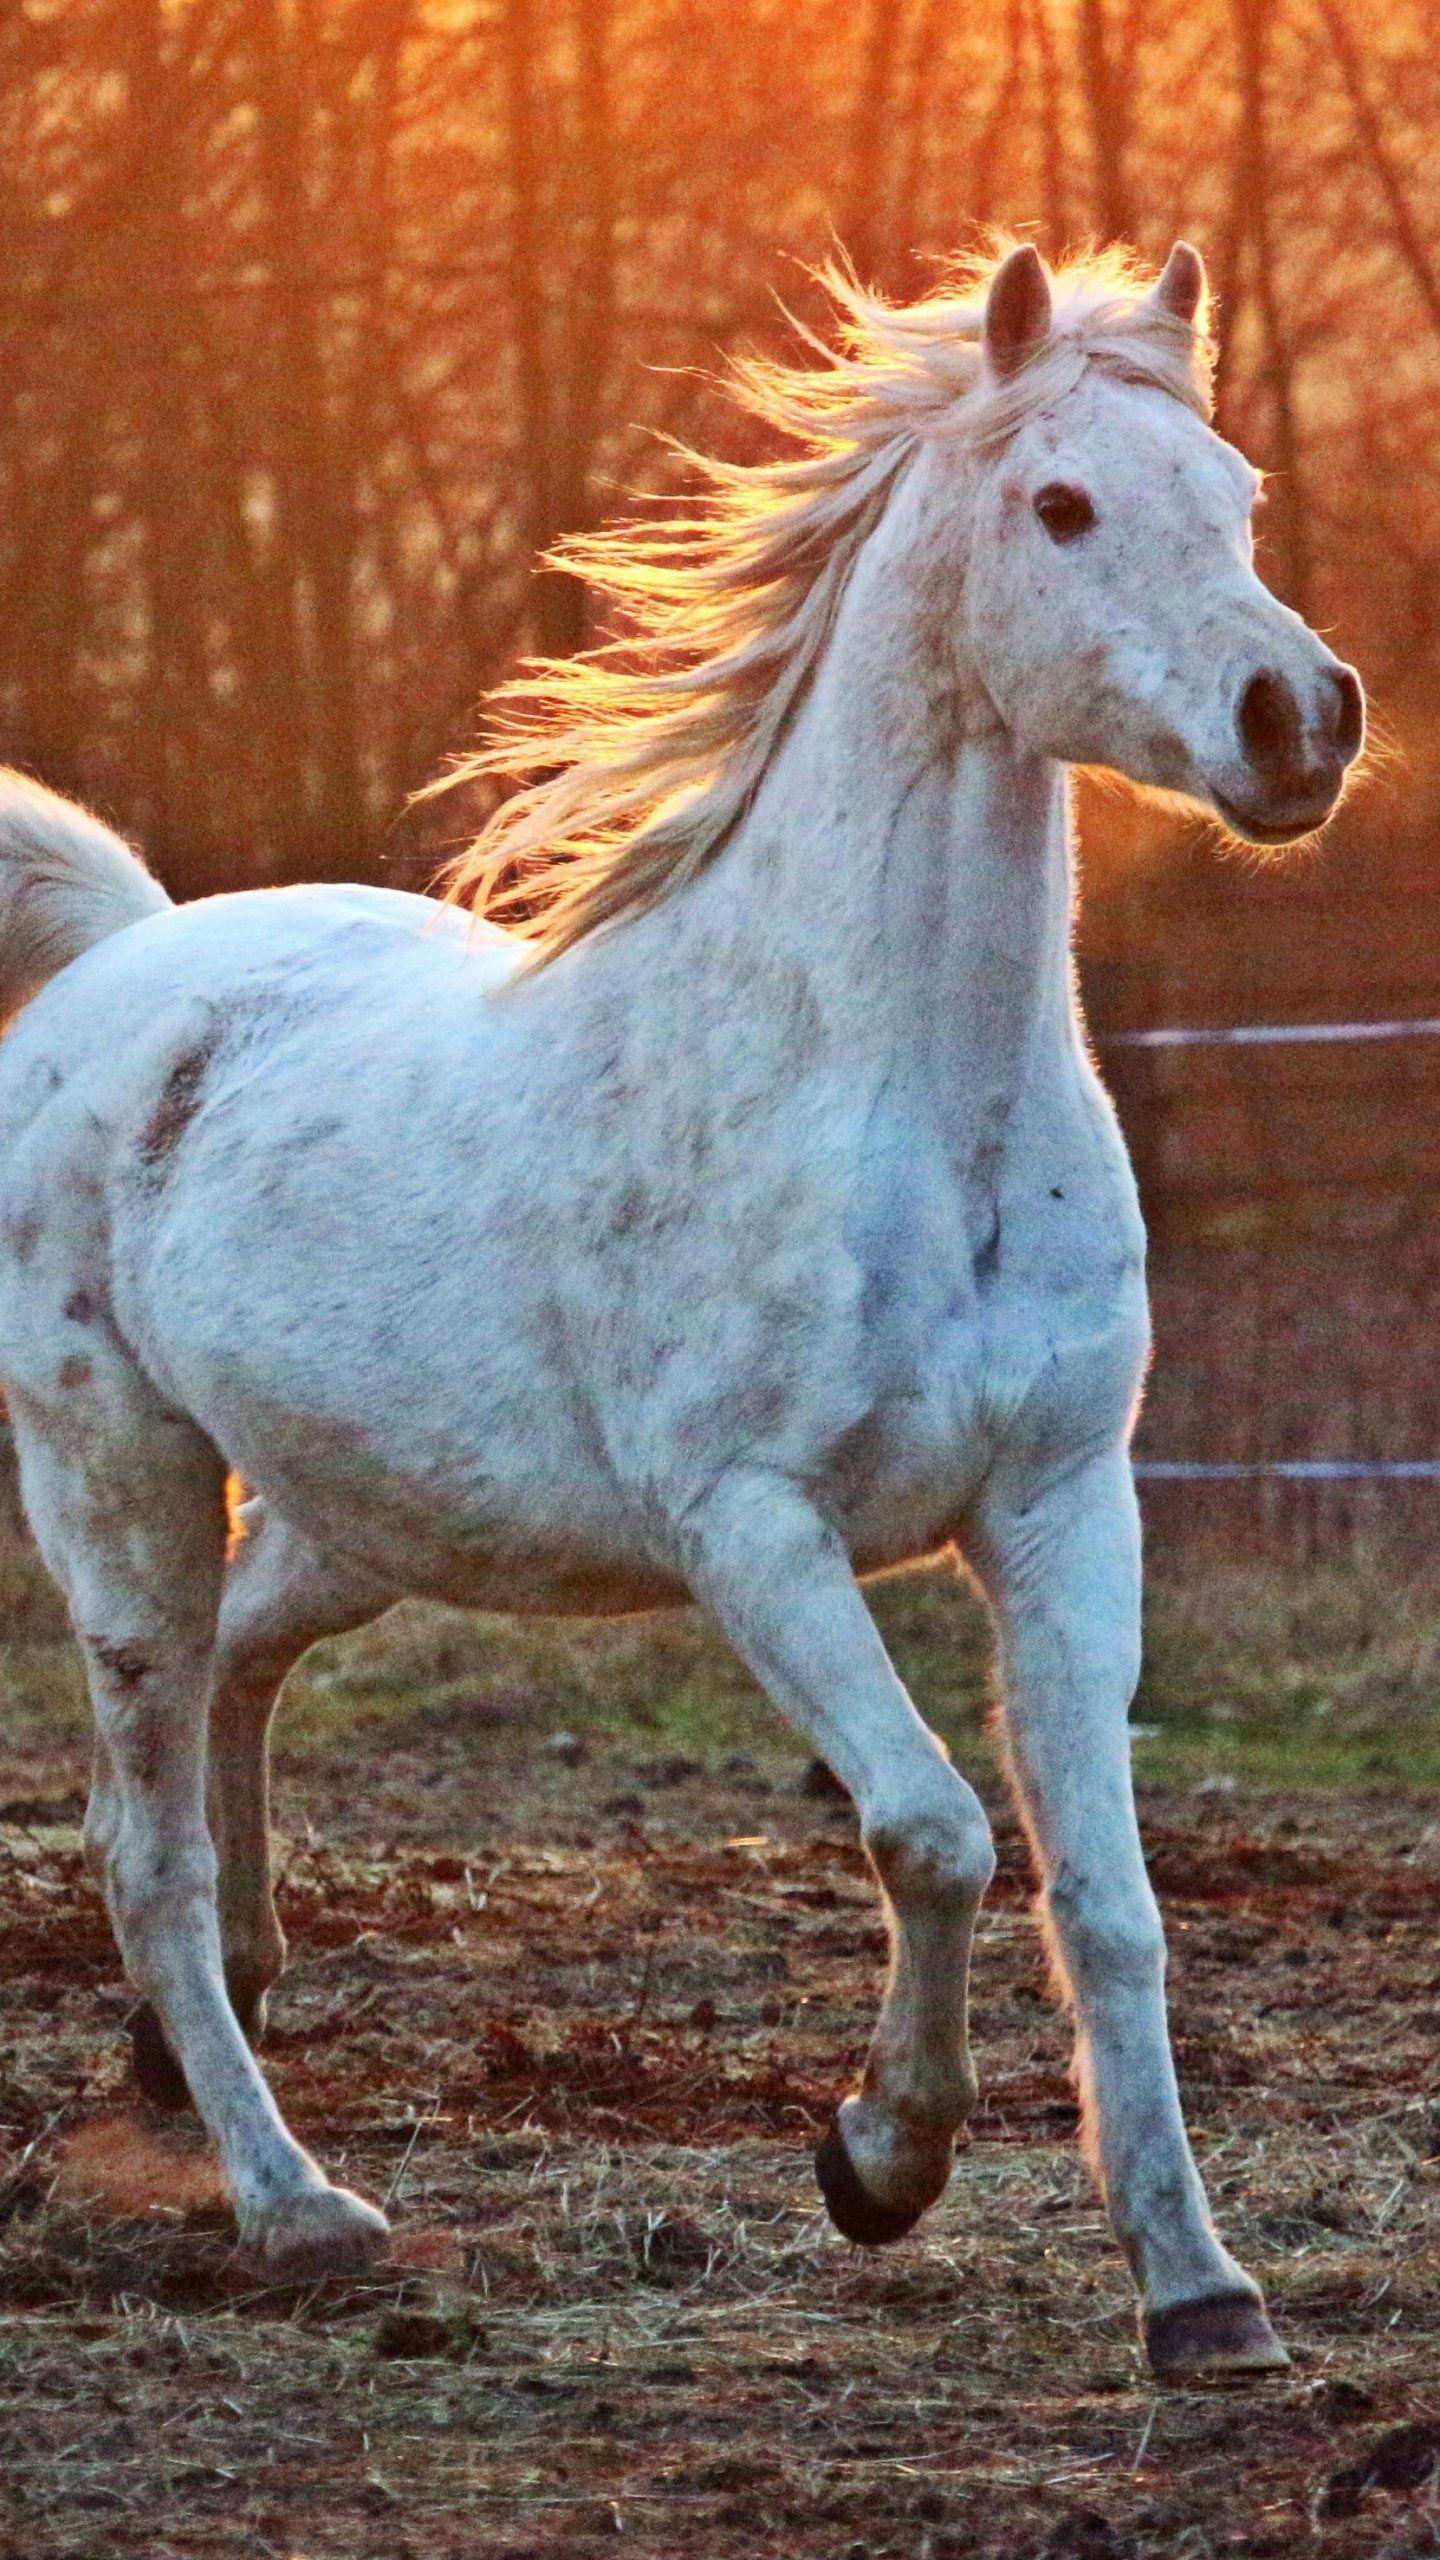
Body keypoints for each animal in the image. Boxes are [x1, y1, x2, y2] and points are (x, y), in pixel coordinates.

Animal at [0, 240, 1363, 2380]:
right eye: (1059, 504)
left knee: (239, 1688)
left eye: (1233, 491)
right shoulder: (754, 1529)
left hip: (366, 1513)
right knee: (142, 1848)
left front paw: (1202, 2298)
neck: (903, 1109)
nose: (1298, 720)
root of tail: (126, 964)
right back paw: (297, 2206)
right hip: (118, 1492)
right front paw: (878, 2162)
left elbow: (1111, 1899)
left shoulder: (1065, 1505)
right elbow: (935, 1832)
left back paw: (200, 2038)